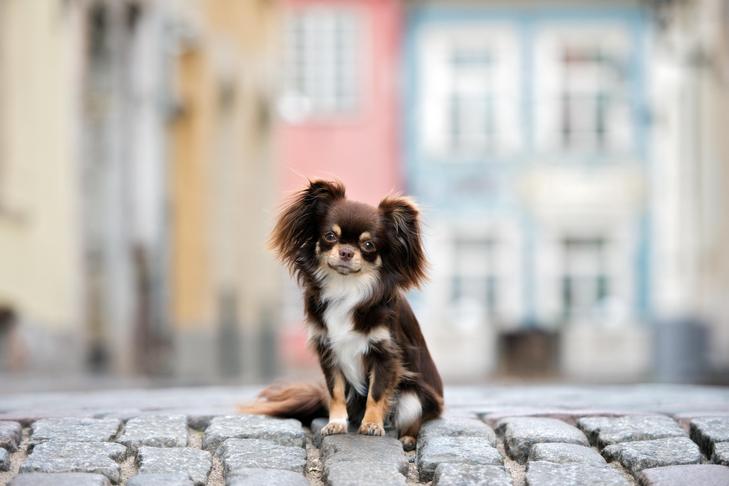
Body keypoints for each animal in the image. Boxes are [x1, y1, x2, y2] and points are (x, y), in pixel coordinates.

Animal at [242, 180, 440, 450]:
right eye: (330, 236)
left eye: (368, 245)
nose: (346, 251)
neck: (346, 287)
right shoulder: (328, 351)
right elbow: (335, 391)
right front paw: (336, 424)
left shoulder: (385, 354)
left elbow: (376, 392)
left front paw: (372, 425)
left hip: (412, 398)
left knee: (413, 418)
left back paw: (407, 439)